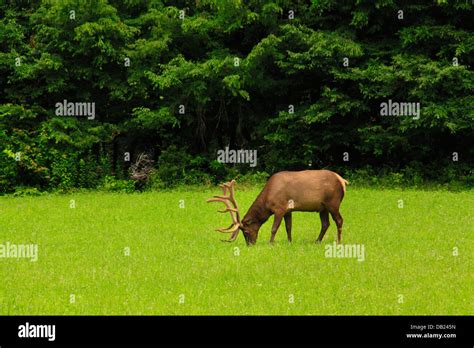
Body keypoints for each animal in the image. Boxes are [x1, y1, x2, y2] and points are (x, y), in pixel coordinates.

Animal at [207, 169, 348, 245]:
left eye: (245, 231)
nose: (250, 245)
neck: (267, 201)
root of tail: (343, 181)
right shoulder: (288, 210)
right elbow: (288, 227)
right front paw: (290, 242)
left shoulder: (279, 208)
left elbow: (274, 228)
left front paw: (270, 243)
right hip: (323, 207)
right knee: (325, 223)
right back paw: (317, 241)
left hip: (333, 203)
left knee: (339, 220)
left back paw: (339, 241)